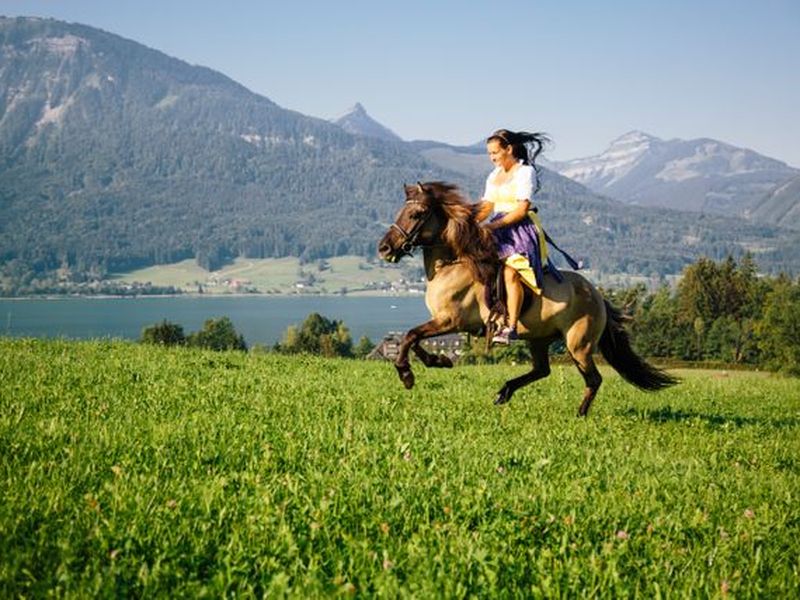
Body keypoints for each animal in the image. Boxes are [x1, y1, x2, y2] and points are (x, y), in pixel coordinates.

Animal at [378, 183, 680, 418]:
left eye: (416, 214)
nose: (384, 248)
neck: (452, 265)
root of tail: (596, 294)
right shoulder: (442, 322)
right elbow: (413, 339)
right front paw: (438, 361)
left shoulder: (451, 321)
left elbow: (410, 336)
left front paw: (407, 375)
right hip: (539, 339)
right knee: (542, 370)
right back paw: (504, 392)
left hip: (578, 345)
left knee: (593, 379)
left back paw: (579, 414)